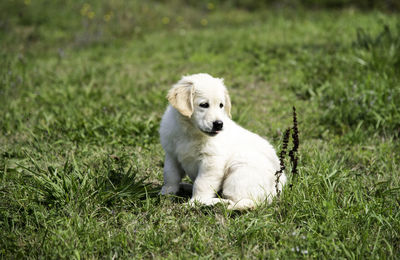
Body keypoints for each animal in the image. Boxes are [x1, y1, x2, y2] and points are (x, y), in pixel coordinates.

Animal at [159, 72, 284, 209]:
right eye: (204, 105)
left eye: (221, 105)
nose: (219, 124)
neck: (191, 132)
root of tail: (277, 189)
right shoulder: (172, 155)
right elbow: (170, 175)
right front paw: (166, 193)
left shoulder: (211, 162)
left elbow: (201, 183)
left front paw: (195, 202)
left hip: (240, 172)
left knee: (243, 202)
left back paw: (217, 203)